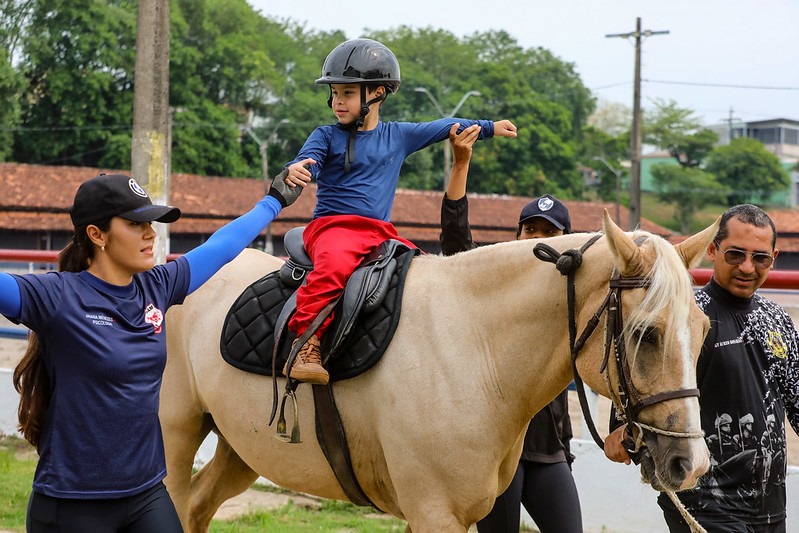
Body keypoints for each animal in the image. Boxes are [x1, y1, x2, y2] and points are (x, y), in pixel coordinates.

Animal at [159, 213, 716, 532]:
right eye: (646, 334)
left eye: (703, 328)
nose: (691, 464)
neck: (474, 346)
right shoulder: (434, 512)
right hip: (175, 437)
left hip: (238, 448)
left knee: (198, 508)